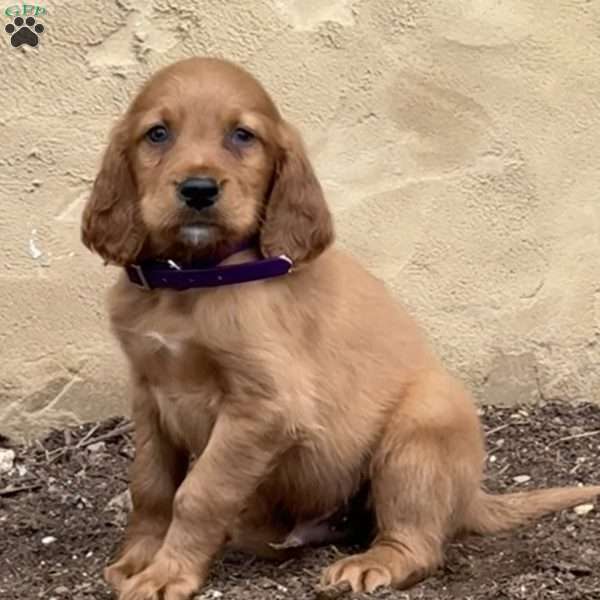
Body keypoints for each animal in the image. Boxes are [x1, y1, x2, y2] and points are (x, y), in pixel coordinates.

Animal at [81, 56, 600, 600]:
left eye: (242, 135)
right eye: (157, 134)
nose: (198, 190)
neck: (190, 281)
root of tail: (472, 496)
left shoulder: (265, 406)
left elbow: (199, 493)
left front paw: (166, 574)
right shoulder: (148, 393)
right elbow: (152, 486)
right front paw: (138, 559)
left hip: (420, 431)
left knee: (417, 542)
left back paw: (371, 563)